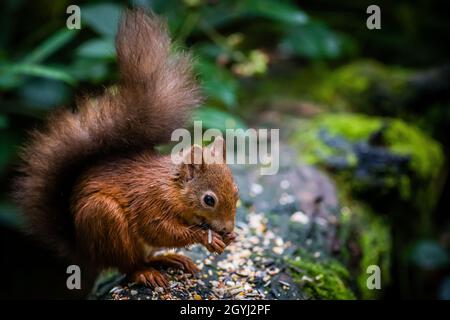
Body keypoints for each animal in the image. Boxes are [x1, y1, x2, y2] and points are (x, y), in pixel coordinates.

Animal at [13, 9, 239, 288]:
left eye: (236, 192)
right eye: (209, 200)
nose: (228, 228)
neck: (173, 189)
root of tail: (84, 250)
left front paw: (228, 238)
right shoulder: (151, 202)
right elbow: (161, 229)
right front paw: (207, 238)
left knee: (145, 257)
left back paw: (169, 259)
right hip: (104, 218)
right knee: (129, 265)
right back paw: (146, 272)